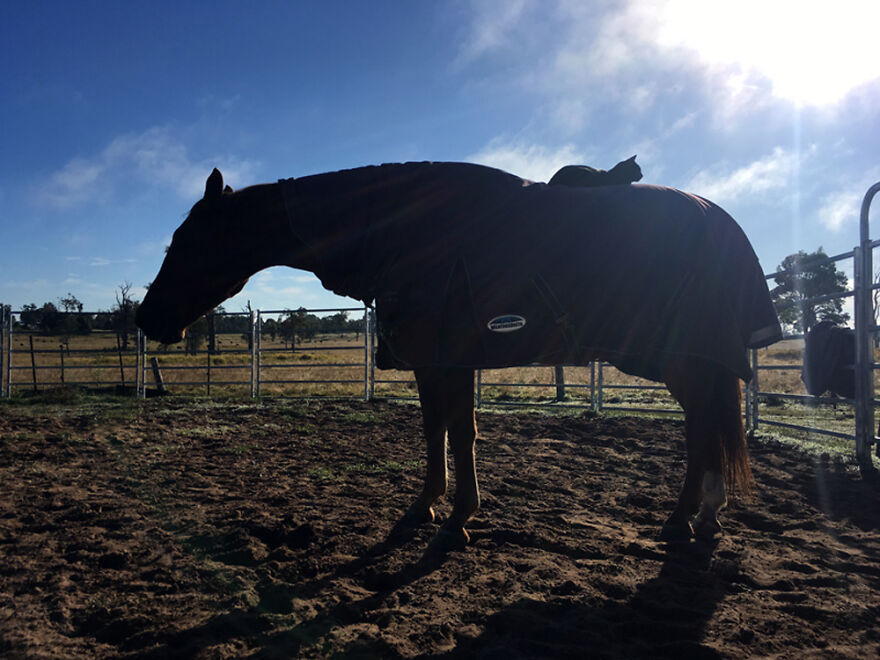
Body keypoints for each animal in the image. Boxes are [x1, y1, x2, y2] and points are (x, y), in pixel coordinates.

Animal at [134, 162, 780, 548]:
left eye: (187, 239)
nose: (146, 317)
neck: (408, 229)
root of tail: (722, 221)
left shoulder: (442, 355)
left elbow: (454, 430)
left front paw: (454, 516)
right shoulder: (444, 357)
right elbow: (443, 428)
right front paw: (435, 506)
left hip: (687, 360)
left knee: (702, 429)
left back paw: (687, 516)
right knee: (705, 430)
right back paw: (699, 515)